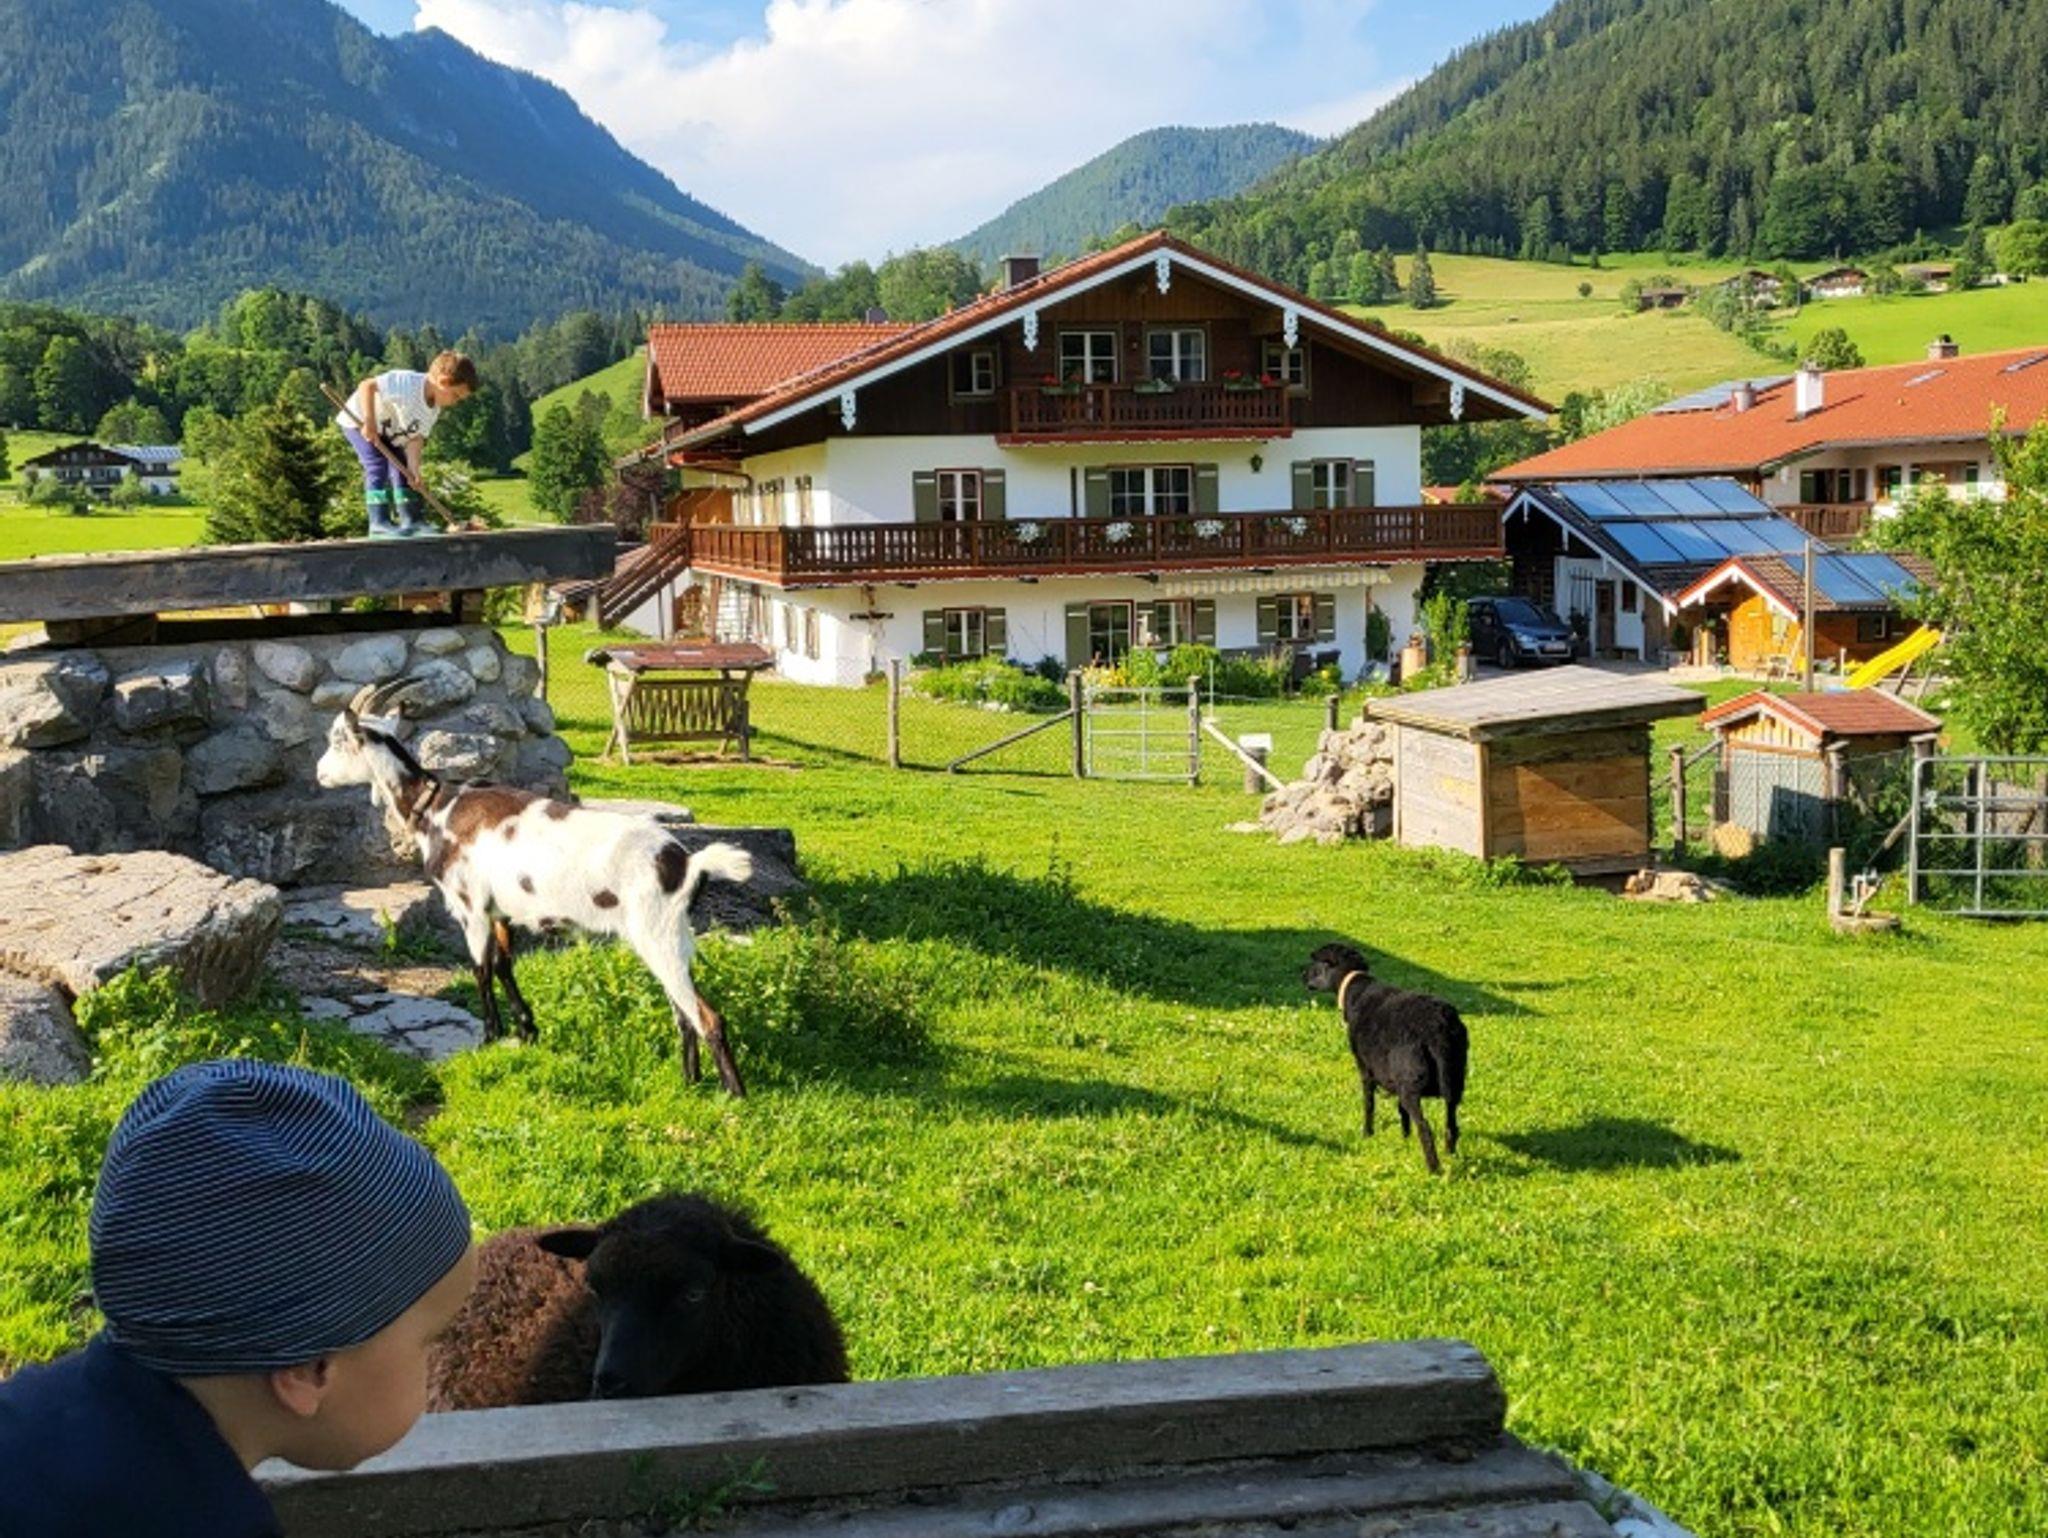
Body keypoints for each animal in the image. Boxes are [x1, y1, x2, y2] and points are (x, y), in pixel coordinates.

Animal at [316, 680, 754, 1093]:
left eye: (338, 738)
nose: (320, 773)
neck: (436, 808)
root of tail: (688, 863)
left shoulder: (470, 906)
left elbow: (480, 969)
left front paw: (490, 1038)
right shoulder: (500, 910)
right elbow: (503, 964)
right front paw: (527, 1029)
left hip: (657, 933)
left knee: (707, 1017)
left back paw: (734, 1098)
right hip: (670, 938)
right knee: (684, 1013)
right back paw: (690, 1084)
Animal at [1302, 942, 1468, 1174]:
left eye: (1316, 963)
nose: (1301, 976)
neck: (1355, 990)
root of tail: (1439, 1029)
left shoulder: (1366, 1069)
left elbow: (1369, 1104)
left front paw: (1367, 1133)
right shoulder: (1393, 1076)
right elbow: (1401, 1111)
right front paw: (1404, 1138)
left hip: (1411, 1083)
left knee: (1425, 1127)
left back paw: (1434, 1169)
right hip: (1454, 1080)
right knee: (1451, 1125)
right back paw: (1449, 1155)